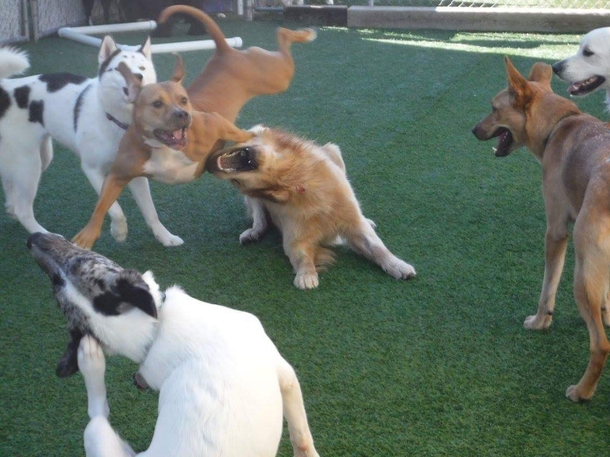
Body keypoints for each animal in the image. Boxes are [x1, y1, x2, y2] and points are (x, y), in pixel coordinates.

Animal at [0, 37, 183, 248]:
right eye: (119, 69)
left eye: (142, 68)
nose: (138, 77)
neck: (117, 121)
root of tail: (5, 89)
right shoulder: (92, 169)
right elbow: (113, 208)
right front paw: (118, 231)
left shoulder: (134, 173)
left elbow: (150, 211)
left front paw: (165, 236)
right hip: (29, 164)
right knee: (24, 209)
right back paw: (45, 235)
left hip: (38, 156)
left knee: (9, 181)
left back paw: (12, 208)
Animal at [28, 232, 320, 456]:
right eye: (55, 284)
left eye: (78, 263)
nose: (30, 239)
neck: (153, 333)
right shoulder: (283, 369)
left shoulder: (286, 376)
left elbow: (302, 436)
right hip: (95, 432)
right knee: (97, 413)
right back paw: (90, 361)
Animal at [204, 124, 414, 288]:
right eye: (236, 182)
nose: (208, 165)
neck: (296, 182)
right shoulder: (294, 238)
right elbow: (302, 256)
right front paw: (306, 275)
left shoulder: (353, 221)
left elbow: (378, 248)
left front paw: (397, 265)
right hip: (253, 199)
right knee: (260, 220)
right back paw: (253, 232)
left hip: (333, 150)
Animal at [472, 56, 610, 400]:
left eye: (493, 108)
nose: (473, 130)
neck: (560, 123)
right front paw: (606, 312)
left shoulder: (556, 231)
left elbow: (547, 288)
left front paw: (539, 322)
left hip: (580, 274)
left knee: (601, 345)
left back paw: (582, 391)